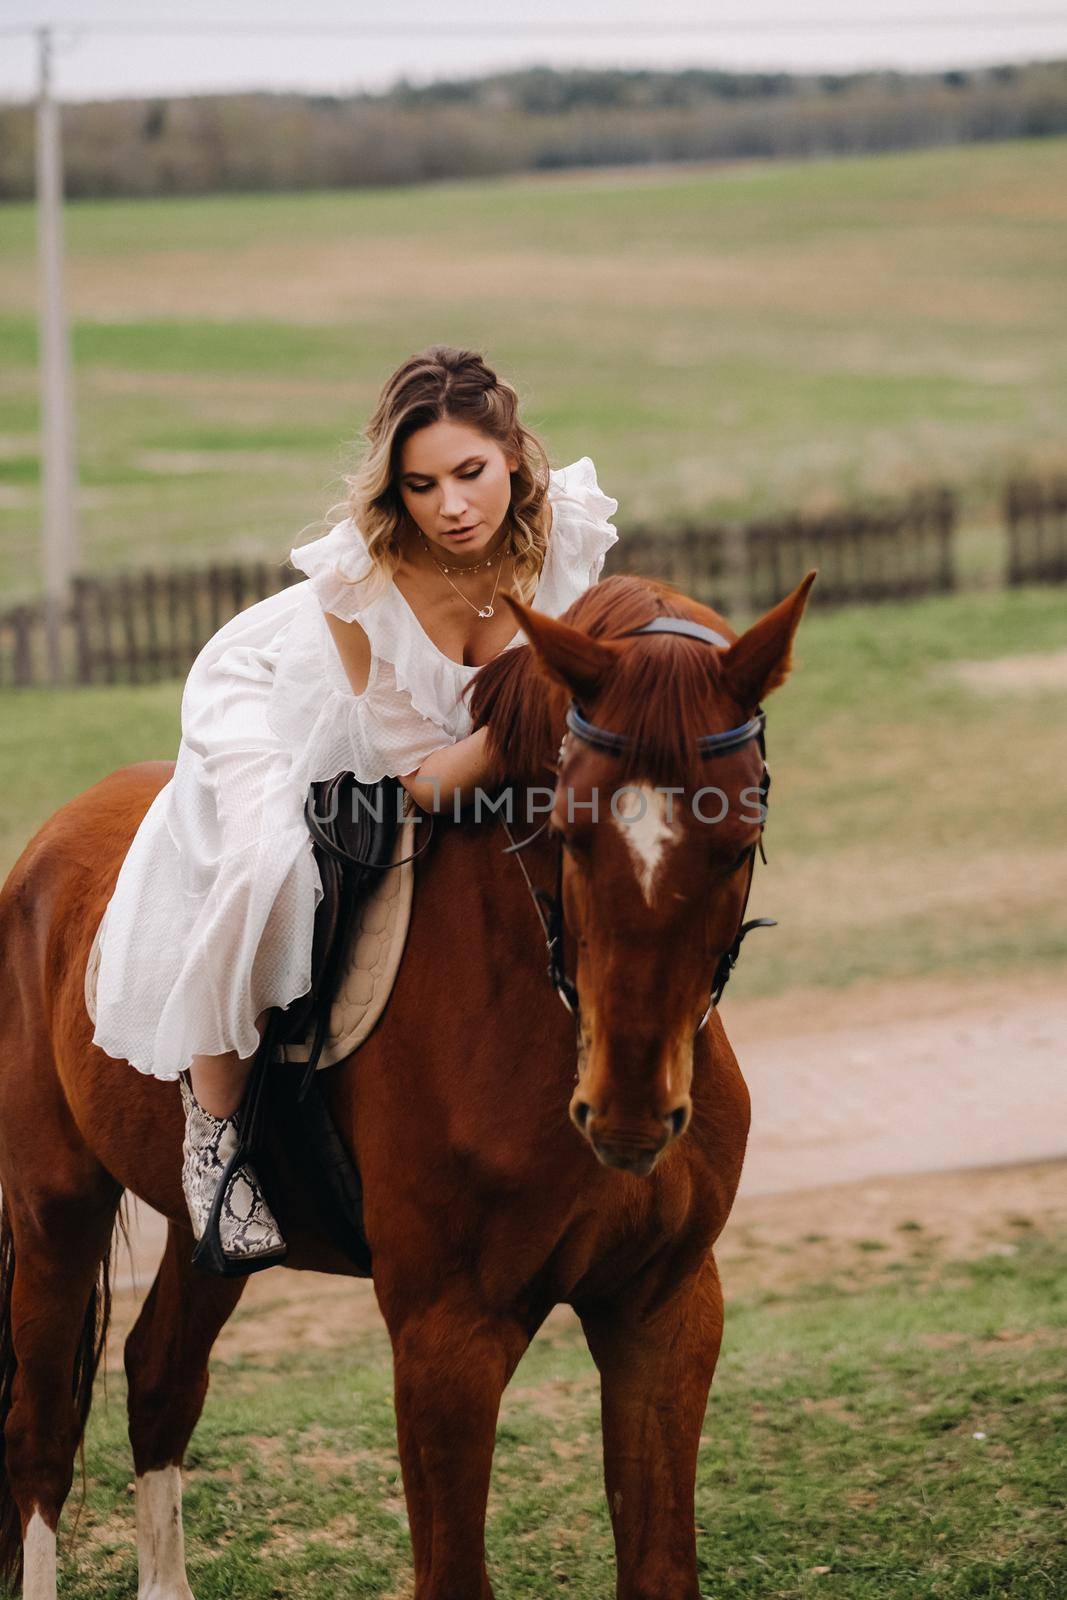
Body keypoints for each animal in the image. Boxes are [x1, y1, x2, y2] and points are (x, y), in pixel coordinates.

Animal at [0, 569, 812, 1593]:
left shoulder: (663, 1311)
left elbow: (659, 1564)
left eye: (739, 839)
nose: (627, 1116)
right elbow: (452, 1572)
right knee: (40, 1435)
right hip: (52, 1205)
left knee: (159, 1380)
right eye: (568, 830)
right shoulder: (445, 1339)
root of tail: (48, 844)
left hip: (203, 1238)